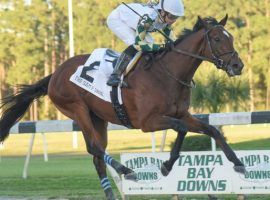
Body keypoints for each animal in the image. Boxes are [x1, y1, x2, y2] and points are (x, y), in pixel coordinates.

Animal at [0, 16, 245, 200]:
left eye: (231, 37)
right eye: (216, 38)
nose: (237, 65)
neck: (167, 74)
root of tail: (55, 74)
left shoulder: (182, 114)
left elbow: (211, 130)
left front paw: (238, 163)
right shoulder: (147, 122)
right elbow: (182, 129)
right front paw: (166, 166)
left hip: (97, 118)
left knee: (96, 156)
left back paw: (112, 192)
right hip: (77, 109)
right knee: (95, 148)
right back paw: (126, 170)